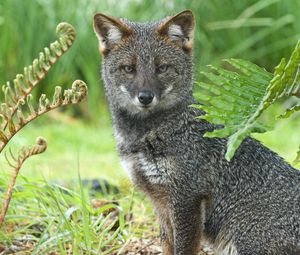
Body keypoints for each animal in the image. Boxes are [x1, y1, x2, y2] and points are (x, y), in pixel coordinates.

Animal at [93, 8, 300, 254]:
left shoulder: (187, 198)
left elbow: (182, 249)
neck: (144, 137)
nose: (145, 97)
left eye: (162, 68)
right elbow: (167, 246)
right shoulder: (161, 203)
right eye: (128, 69)